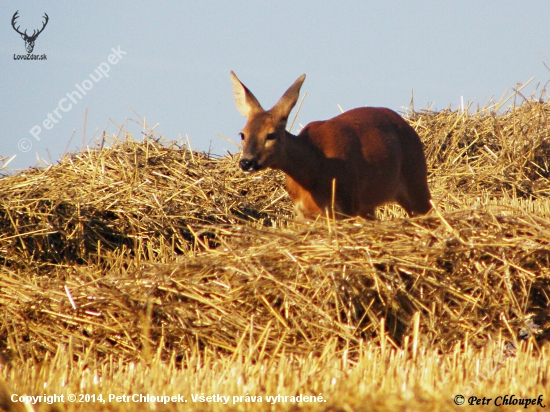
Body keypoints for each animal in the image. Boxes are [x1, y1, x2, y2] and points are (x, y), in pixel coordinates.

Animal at [231, 71, 434, 219]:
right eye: (242, 134)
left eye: (271, 134)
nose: (246, 162)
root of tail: (409, 128)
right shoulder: (303, 213)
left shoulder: (346, 204)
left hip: (415, 179)